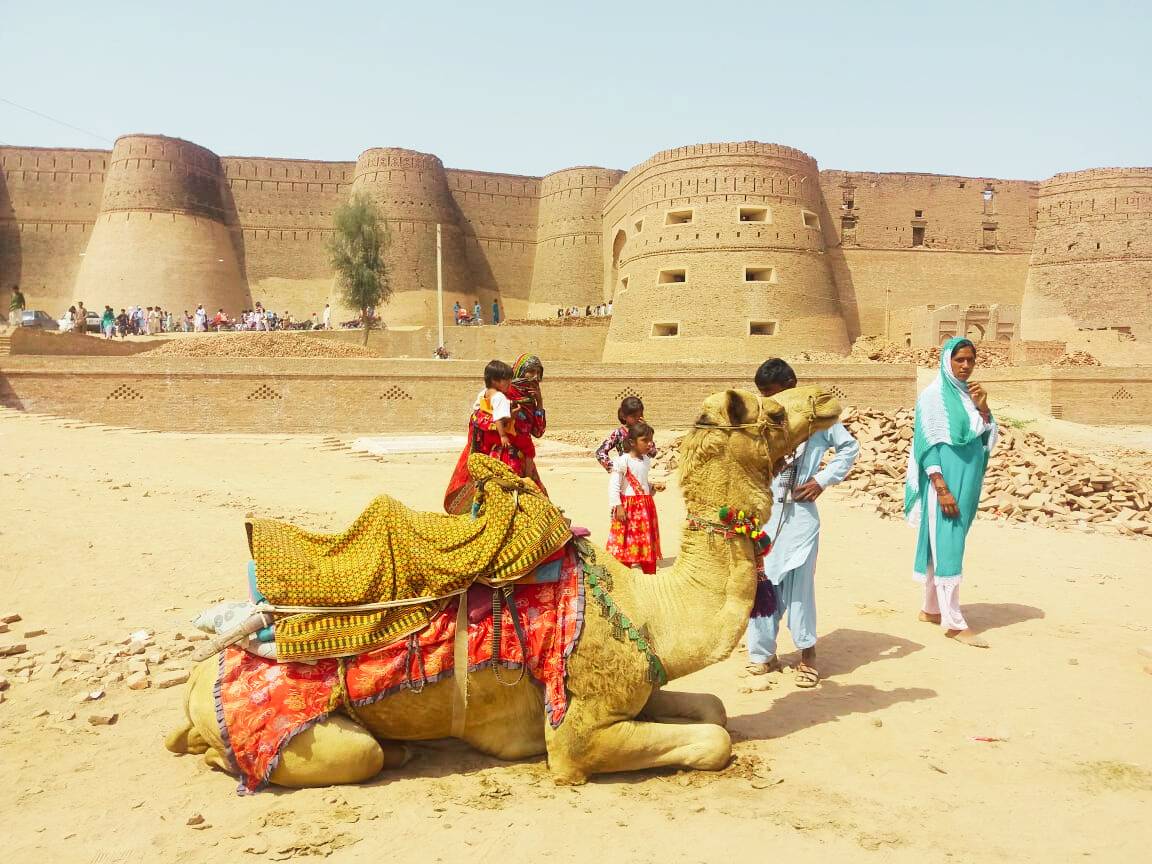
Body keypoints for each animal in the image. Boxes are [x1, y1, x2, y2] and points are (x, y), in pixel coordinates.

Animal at [167, 389, 843, 787]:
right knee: (350, 756)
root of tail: (200, 676)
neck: (649, 609)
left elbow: (714, 709)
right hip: (288, 730)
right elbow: (712, 739)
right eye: (773, 411)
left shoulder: (637, 689)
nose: (828, 396)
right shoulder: (574, 733)